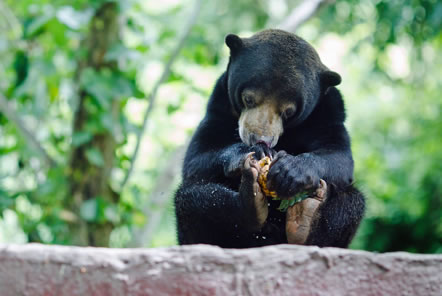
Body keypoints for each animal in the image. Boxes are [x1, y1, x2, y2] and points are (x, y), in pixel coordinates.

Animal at [174, 29, 364, 247]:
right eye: (248, 98)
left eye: (289, 111)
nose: (260, 138)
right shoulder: (219, 105)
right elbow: (197, 158)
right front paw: (254, 152)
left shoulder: (328, 113)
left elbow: (339, 156)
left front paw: (290, 170)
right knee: (194, 197)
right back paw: (251, 203)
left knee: (349, 204)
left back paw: (305, 219)